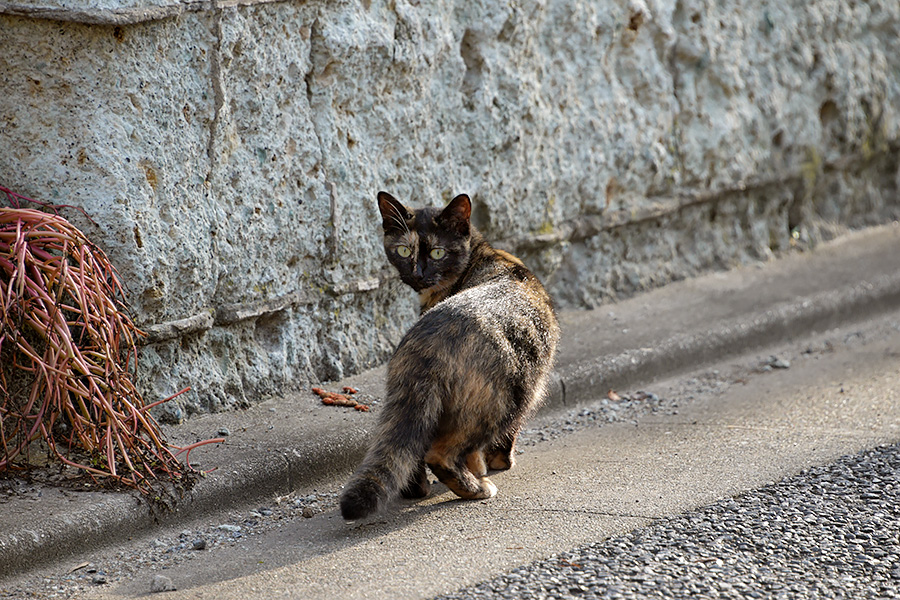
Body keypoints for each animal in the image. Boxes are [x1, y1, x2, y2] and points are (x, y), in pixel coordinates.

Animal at [340, 192, 560, 520]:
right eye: (404, 250)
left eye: (438, 252)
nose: (418, 273)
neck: (486, 256)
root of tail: (425, 344)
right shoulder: (534, 385)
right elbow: (506, 439)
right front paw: (496, 465)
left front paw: (478, 468)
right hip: (504, 401)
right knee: (440, 453)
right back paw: (477, 489)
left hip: (418, 405)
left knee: (412, 447)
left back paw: (419, 489)